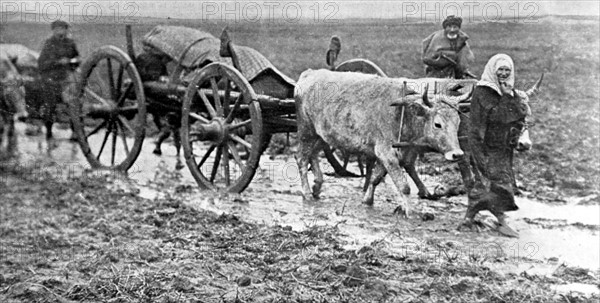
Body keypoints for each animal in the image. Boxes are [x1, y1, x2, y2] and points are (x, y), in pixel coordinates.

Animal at [292, 69, 472, 216]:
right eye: (437, 124)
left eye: (458, 122)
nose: (457, 154)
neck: (403, 114)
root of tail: (310, 73)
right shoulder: (385, 152)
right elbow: (404, 186)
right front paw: (411, 212)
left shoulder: (392, 155)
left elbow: (375, 178)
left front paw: (367, 200)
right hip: (306, 131)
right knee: (301, 158)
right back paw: (307, 193)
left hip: (320, 136)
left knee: (313, 155)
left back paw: (317, 185)